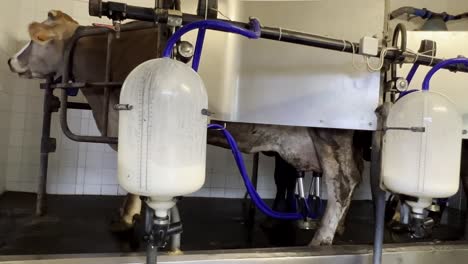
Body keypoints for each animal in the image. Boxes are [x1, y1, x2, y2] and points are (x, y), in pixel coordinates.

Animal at [8, 9, 366, 246]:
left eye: (34, 41)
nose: (11, 61)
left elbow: (131, 184)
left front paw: (125, 218)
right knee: (353, 177)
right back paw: (337, 228)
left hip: (331, 131)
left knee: (343, 182)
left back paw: (321, 239)